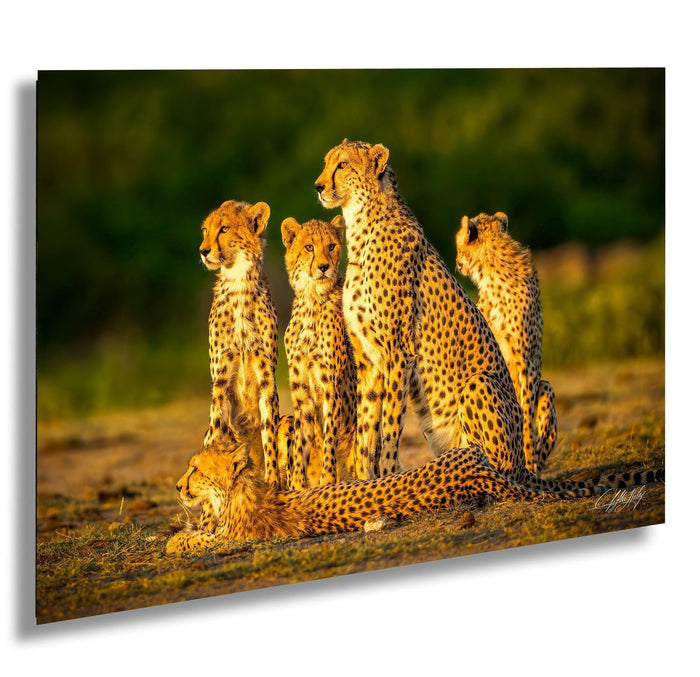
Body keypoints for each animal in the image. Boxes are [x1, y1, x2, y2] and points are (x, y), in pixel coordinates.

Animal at [199, 199, 281, 488]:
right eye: (205, 230)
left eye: (224, 229)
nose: (203, 251)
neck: (239, 282)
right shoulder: (221, 379)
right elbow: (216, 432)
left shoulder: (267, 377)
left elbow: (269, 434)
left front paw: (274, 481)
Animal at [281, 215, 358, 490]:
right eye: (309, 247)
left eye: (332, 246)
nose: (324, 267)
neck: (311, 300)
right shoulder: (301, 392)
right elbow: (300, 443)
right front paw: (297, 484)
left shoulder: (330, 388)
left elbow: (330, 439)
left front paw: (327, 480)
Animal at [456, 211, 557, 475]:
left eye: (459, 247)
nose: (456, 261)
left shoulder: (526, 361)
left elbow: (526, 415)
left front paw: (528, 457)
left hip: (546, 387)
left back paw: (534, 462)